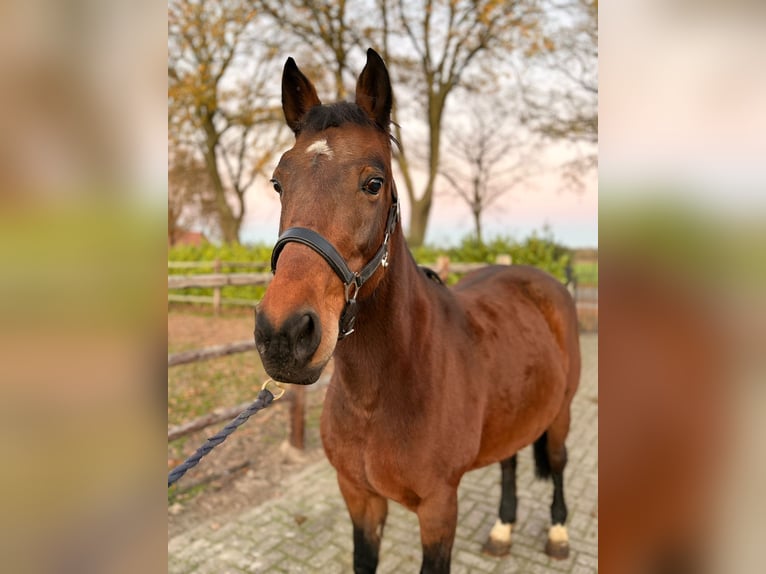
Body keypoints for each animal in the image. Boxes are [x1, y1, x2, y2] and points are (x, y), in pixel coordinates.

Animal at [254, 48, 581, 574]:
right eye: (278, 183)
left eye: (374, 183)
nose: (283, 334)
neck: (381, 393)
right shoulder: (360, 498)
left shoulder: (438, 508)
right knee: (510, 460)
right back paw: (502, 529)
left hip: (562, 413)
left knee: (558, 461)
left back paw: (557, 533)